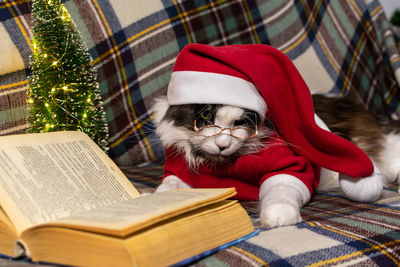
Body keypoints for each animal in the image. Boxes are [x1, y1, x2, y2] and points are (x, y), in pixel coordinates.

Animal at [151, 93, 400, 228]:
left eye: (240, 123)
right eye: (205, 116)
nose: (222, 144)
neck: (225, 163)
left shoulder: (288, 166)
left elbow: (280, 191)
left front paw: (278, 214)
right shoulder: (180, 166)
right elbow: (171, 184)